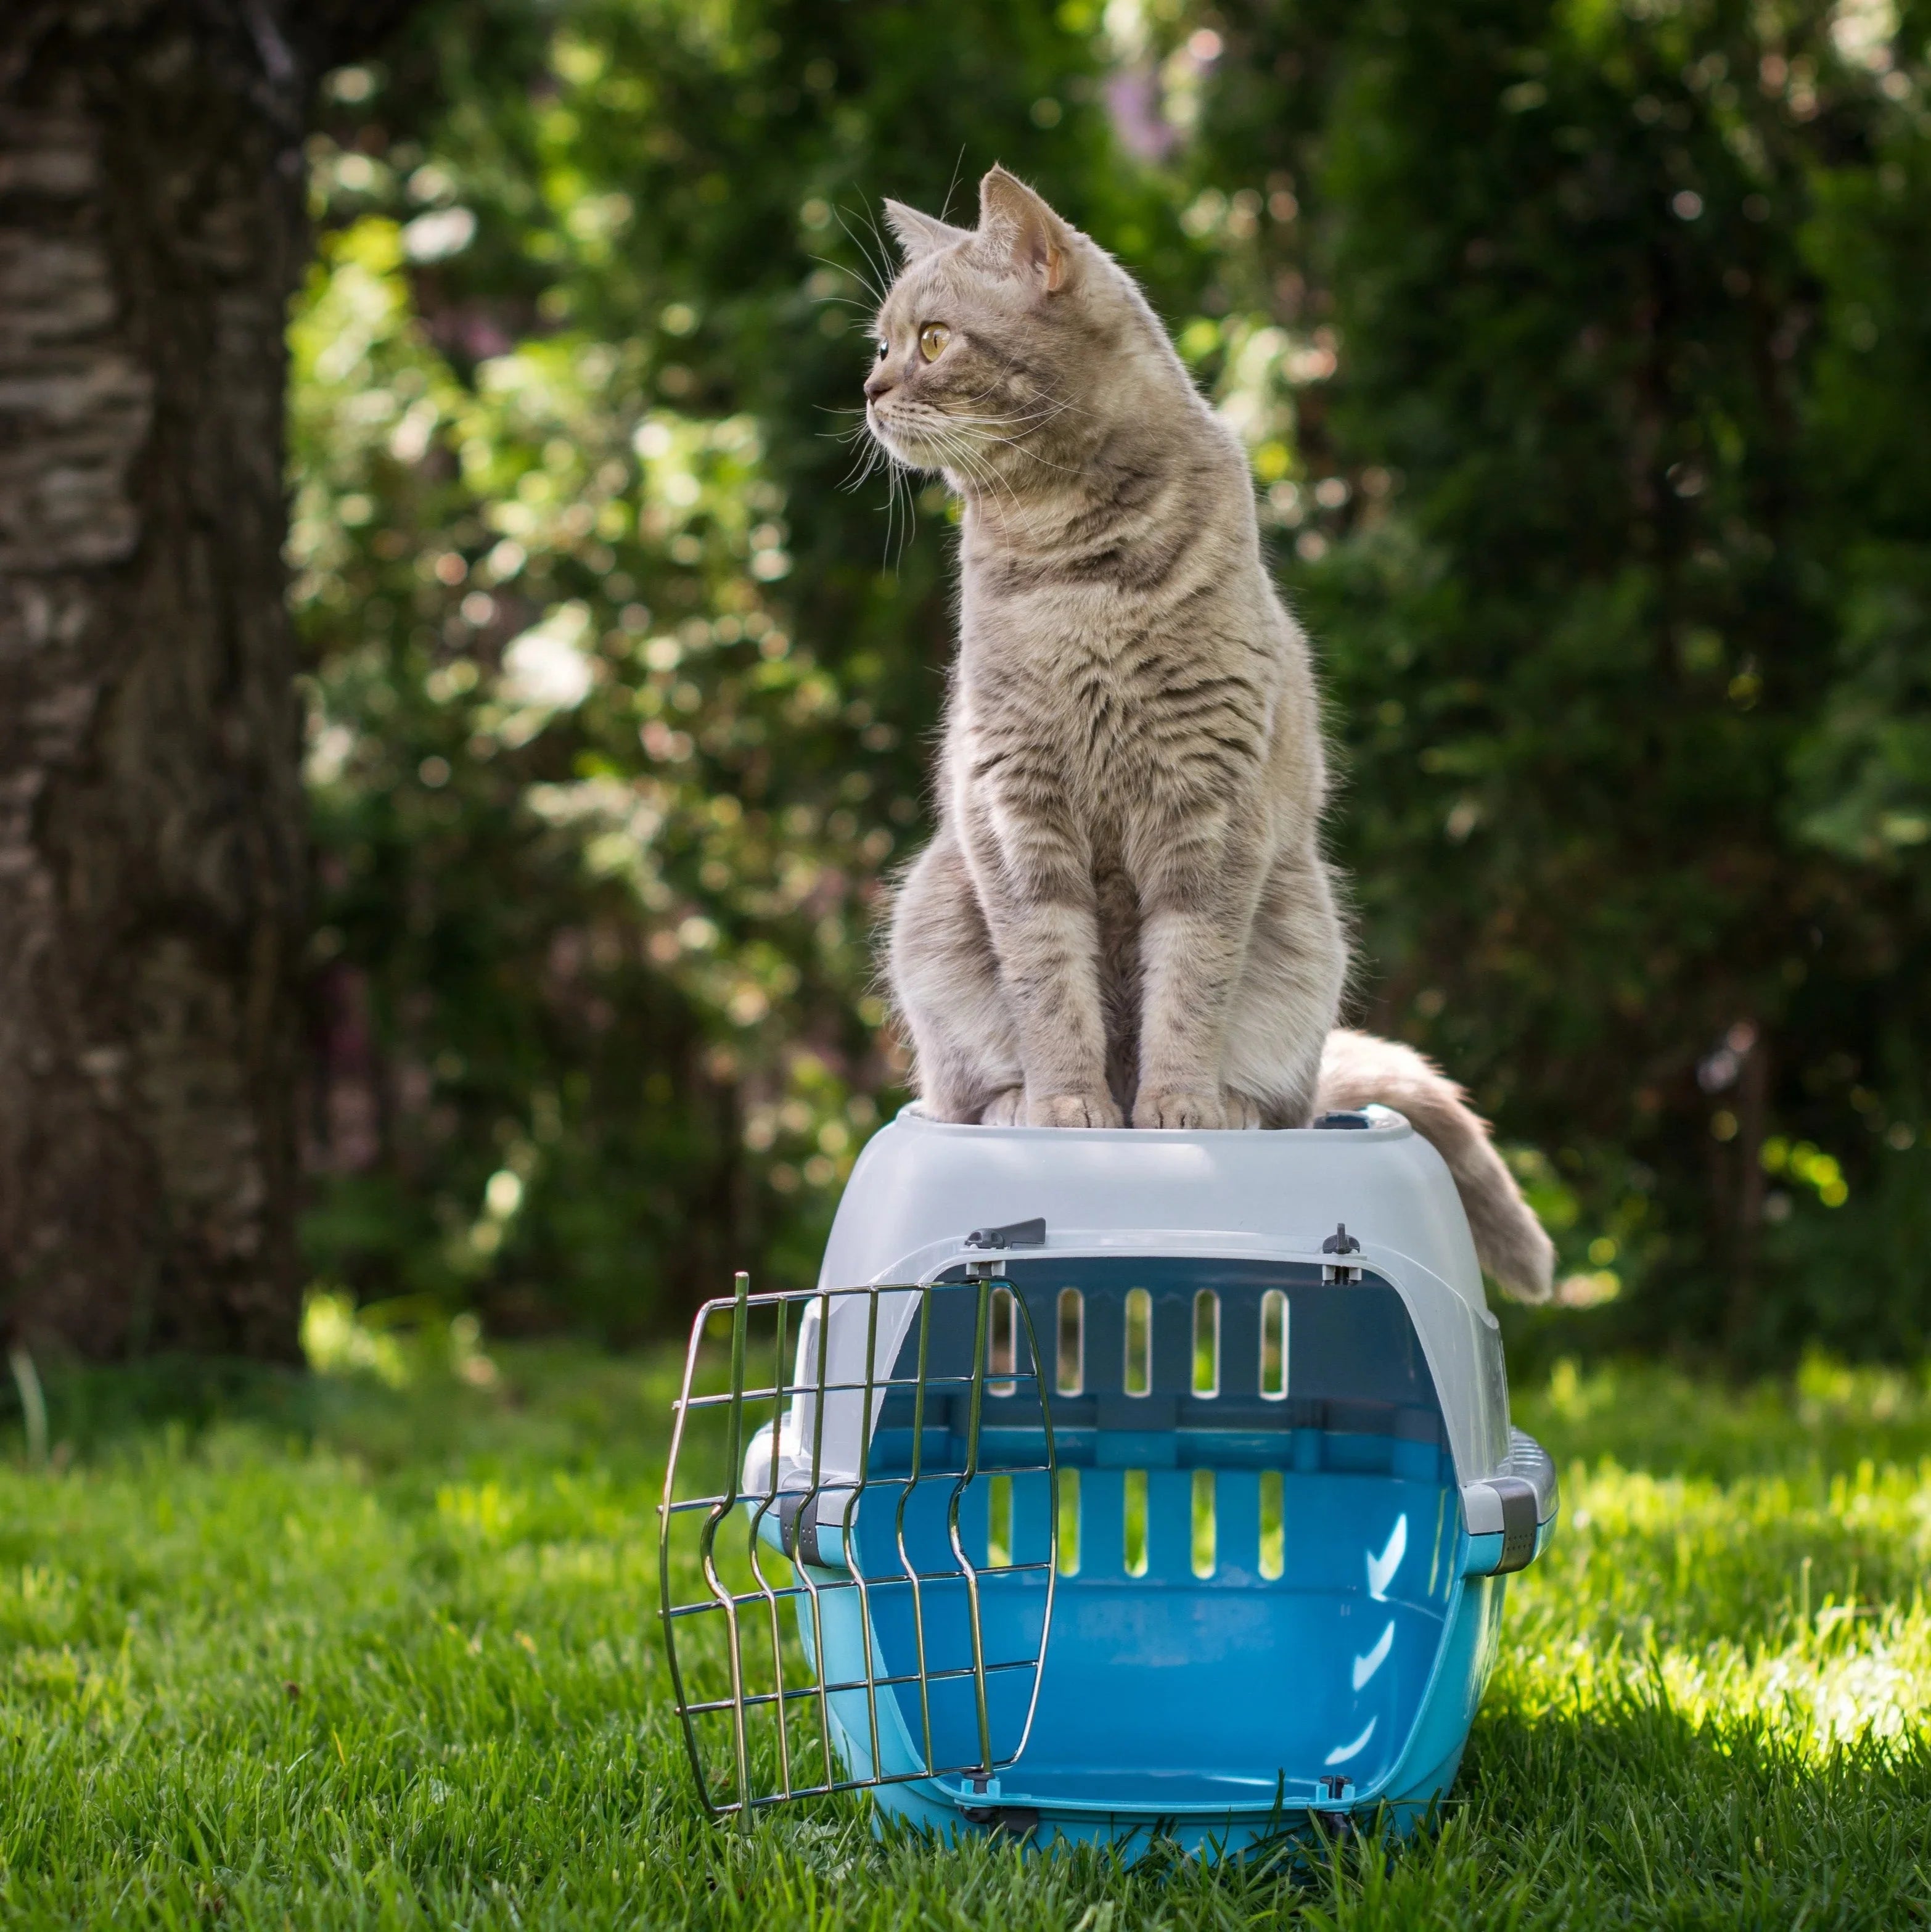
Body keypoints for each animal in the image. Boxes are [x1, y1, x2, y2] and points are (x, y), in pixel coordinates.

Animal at [861, 166, 1552, 1298]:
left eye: (930, 339)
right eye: (880, 343)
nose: (869, 390)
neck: (1074, 570)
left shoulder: (1206, 811)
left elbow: (1188, 979)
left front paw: (1172, 1110)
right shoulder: (1015, 807)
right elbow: (1049, 980)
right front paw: (1069, 1110)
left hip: (1301, 929)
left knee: (1282, 1098)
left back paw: (1228, 1105)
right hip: (935, 905)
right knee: (965, 1086)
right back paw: (1016, 1101)